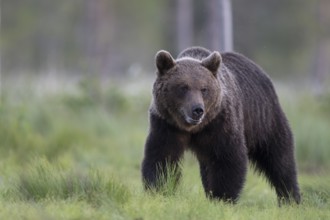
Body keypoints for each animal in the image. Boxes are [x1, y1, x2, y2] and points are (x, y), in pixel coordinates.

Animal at [141, 46, 300, 205]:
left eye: (204, 89)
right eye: (183, 87)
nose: (197, 109)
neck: (193, 129)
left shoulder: (220, 124)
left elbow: (227, 158)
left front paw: (222, 197)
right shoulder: (166, 124)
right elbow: (162, 157)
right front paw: (159, 190)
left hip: (263, 118)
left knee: (280, 159)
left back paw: (290, 198)